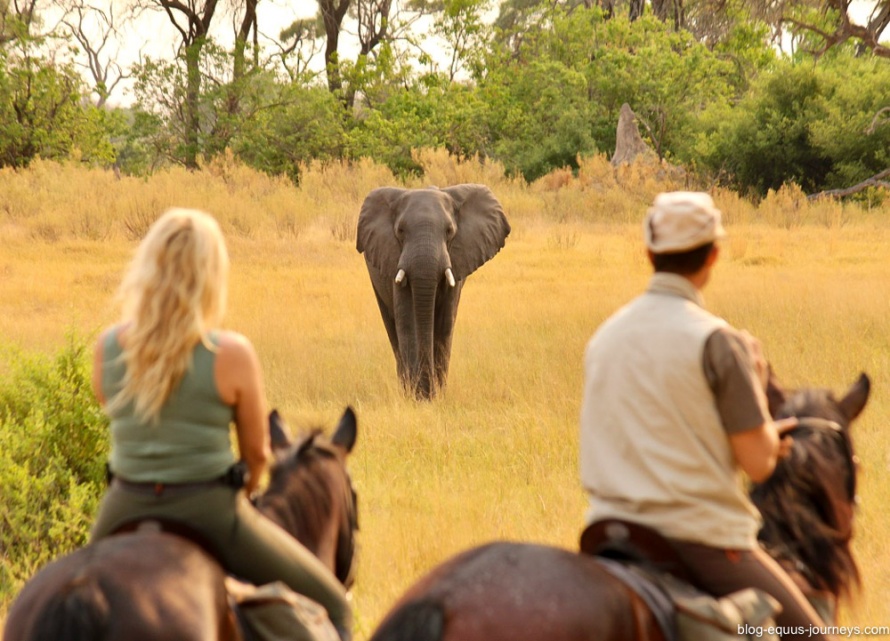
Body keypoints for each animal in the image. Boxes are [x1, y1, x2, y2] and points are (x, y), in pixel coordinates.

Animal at [354, 182, 506, 398]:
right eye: (400, 230)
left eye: (449, 231)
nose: (428, 392)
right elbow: (407, 322)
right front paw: (416, 397)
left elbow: (444, 324)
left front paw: (437, 396)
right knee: (392, 329)